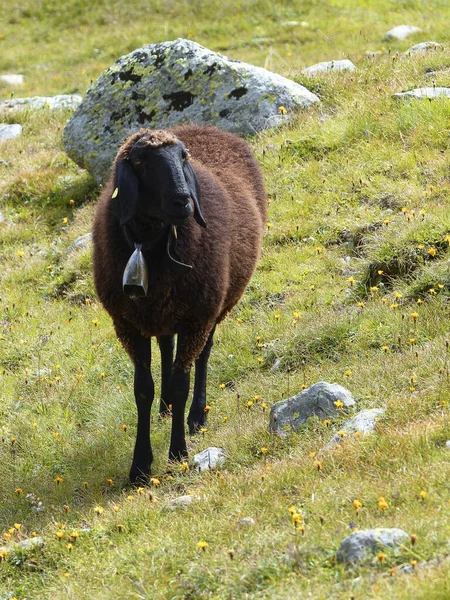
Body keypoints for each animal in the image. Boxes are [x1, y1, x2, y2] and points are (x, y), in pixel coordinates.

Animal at [92, 123, 266, 482]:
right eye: (141, 161)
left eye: (183, 156)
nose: (183, 201)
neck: (149, 245)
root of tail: (207, 127)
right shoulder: (127, 323)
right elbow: (142, 389)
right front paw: (140, 466)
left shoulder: (196, 316)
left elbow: (179, 385)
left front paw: (177, 454)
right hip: (162, 312)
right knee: (166, 347)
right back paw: (165, 409)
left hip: (212, 307)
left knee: (202, 355)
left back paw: (196, 416)